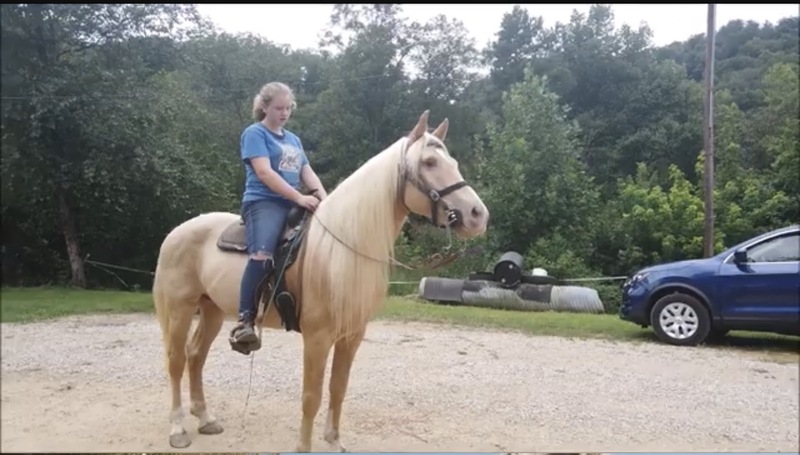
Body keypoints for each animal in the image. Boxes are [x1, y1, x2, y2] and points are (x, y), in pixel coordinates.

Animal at [152, 110, 490, 452]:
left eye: (453, 162)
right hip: (180, 309)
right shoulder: (317, 337)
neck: (342, 249)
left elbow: (338, 388)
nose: (477, 215)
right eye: (429, 163)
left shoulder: (351, 335)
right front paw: (304, 446)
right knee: (176, 361)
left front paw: (334, 441)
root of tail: (175, 232)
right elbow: (311, 396)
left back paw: (205, 418)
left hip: (212, 310)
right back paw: (178, 428)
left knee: (196, 356)